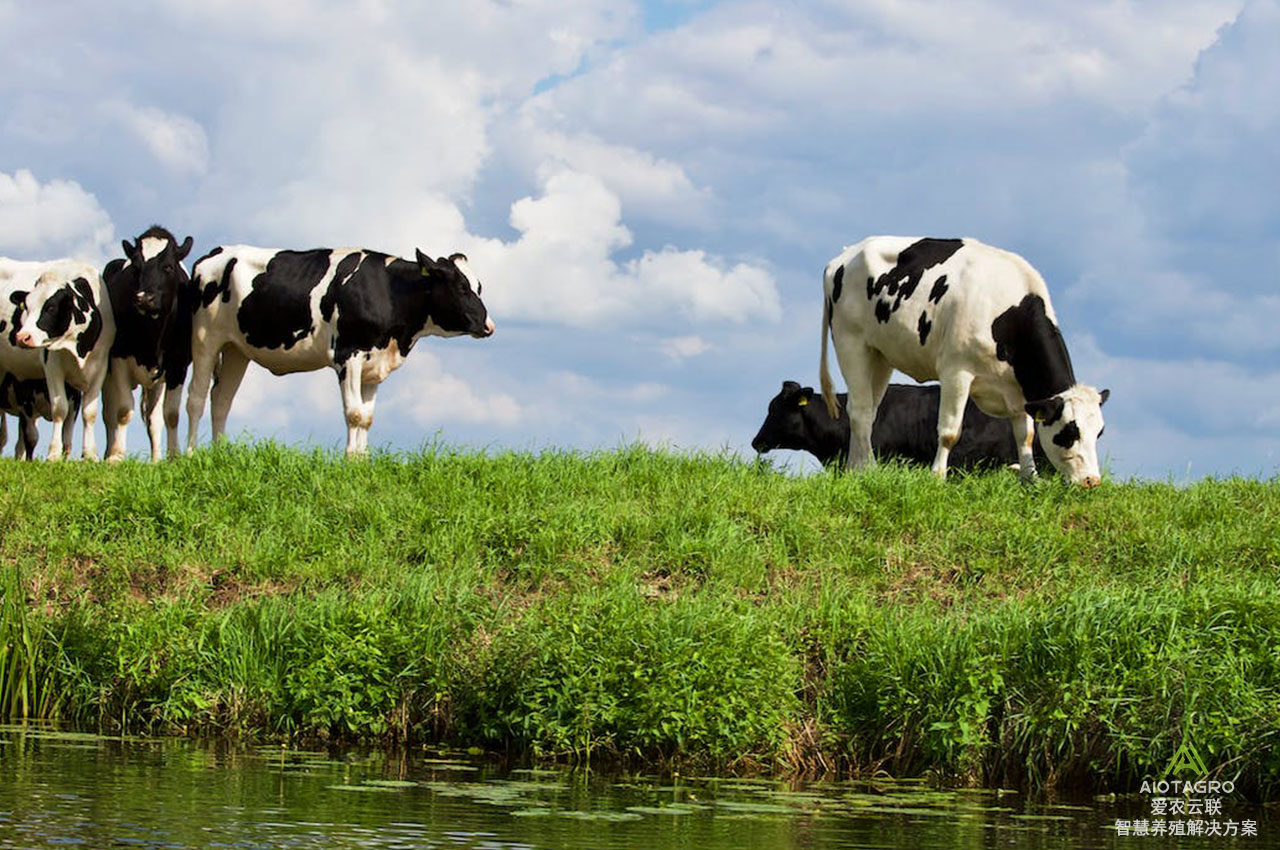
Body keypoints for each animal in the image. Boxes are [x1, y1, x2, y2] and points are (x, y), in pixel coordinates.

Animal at [0, 257, 113, 458]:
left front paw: (90, 454)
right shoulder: (52, 365)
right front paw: (53, 454)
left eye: (51, 307)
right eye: (26, 307)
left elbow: (89, 412)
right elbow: (60, 409)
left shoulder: (100, 365)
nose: (22, 337)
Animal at [101, 225, 194, 460]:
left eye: (168, 266)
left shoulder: (178, 365)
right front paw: (117, 457)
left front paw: (172, 457)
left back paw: (155, 458)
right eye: (136, 266)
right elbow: (123, 410)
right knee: (109, 414)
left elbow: (170, 414)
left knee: (154, 418)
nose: (144, 298)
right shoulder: (118, 359)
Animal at [185, 245, 494, 455]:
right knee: (196, 398)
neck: (390, 291)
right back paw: (190, 455)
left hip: (236, 349)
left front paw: (362, 460)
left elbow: (367, 418)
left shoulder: (374, 363)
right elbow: (354, 413)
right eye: (461, 287)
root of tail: (216, 253)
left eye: (479, 286)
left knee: (222, 399)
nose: (488, 325)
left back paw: (220, 454)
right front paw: (349, 460)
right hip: (205, 339)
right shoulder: (348, 355)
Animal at [819, 235, 1111, 489]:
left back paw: (856, 469)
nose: (1091, 481)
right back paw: (868, 467)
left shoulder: (1017, 391)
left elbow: (1025, 435)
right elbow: (949, 431)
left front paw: (1030, 479)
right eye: (1070, 432)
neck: (1007, 314)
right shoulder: (956, 372)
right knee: (859, 410)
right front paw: (937, 477)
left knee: (868, 411)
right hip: (851, 342)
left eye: (1099, 432)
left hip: (879, 354)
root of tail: (844, 255)